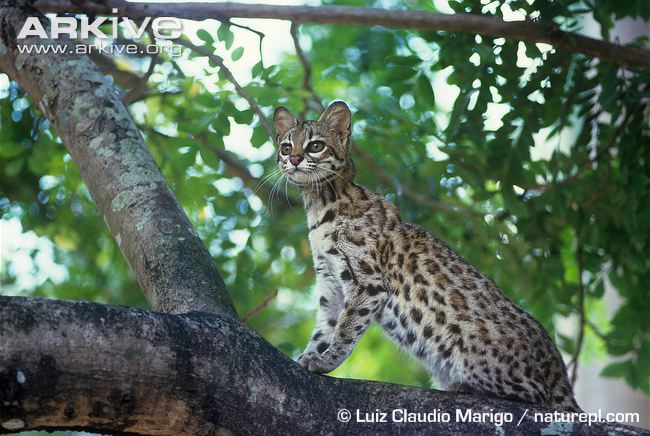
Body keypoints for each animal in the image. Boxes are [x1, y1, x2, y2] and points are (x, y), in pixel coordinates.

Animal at [272, 100, 576, 410]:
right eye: (286, 146)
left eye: (315, 146)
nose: (294, 159)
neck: (318, 204)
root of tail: (557, 366)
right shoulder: (329, 284)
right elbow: (325, 327)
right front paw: (311, 354)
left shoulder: (368, 284)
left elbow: (347, 327)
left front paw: (328, 360)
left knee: (536, 395)